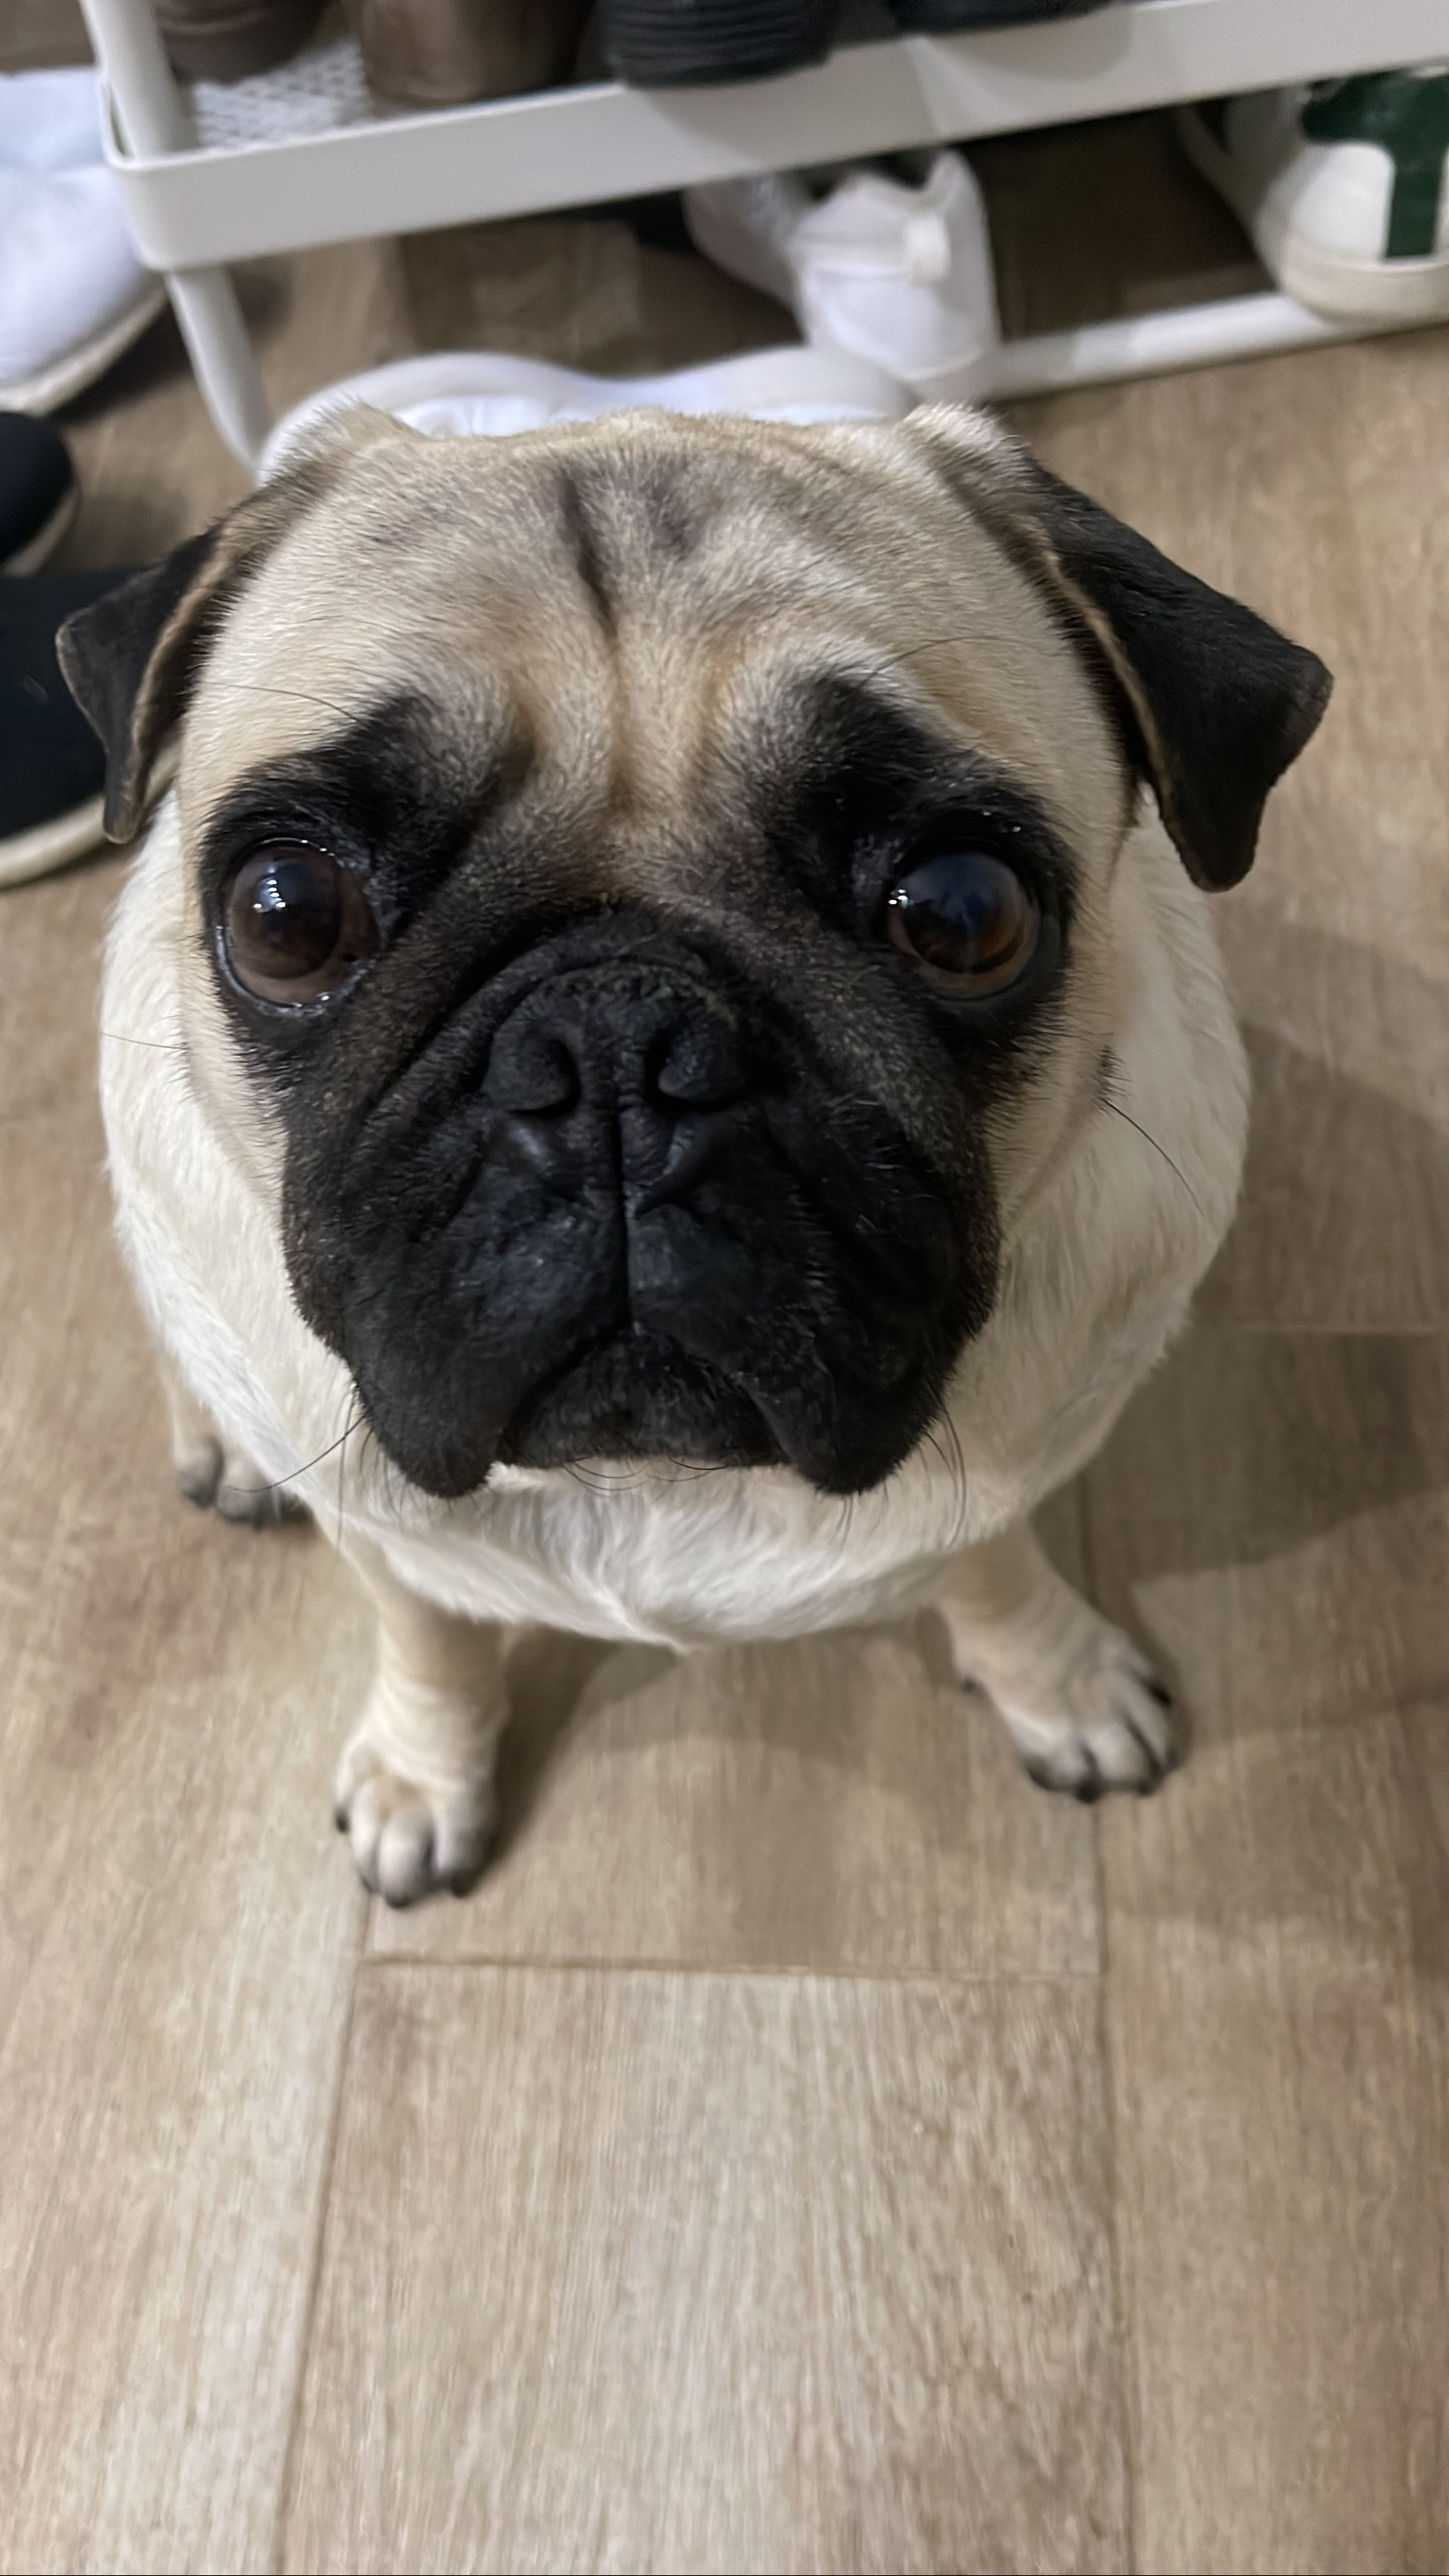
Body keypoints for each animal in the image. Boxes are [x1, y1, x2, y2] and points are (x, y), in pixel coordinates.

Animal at [59, 401, 1330, 1904]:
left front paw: (1056, 1685)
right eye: (288, 914)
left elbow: (996, 1567)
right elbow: (431, 1638)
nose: (614, 1047)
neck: (654, 1470)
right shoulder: (383, 1535)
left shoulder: (997, 1482)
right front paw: (426, 1775)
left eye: (964, 913)